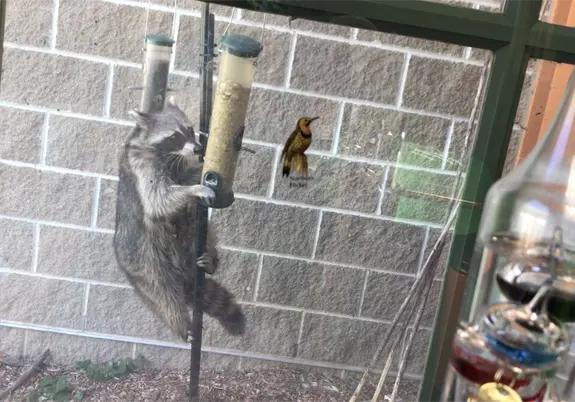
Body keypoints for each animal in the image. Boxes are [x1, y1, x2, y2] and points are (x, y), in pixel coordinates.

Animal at [113, 97, 246, 342]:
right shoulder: (142, 163)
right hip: (146, 261)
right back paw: (182, 327)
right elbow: (158, 199)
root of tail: (183, 273)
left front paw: (199, 174)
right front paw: (195, 189)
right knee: (164, 295)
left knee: (195, 224)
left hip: (185, 240)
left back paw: (210, 260)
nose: (198, 148)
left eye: (190, 130)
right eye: (174, 136)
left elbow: (182, 178)